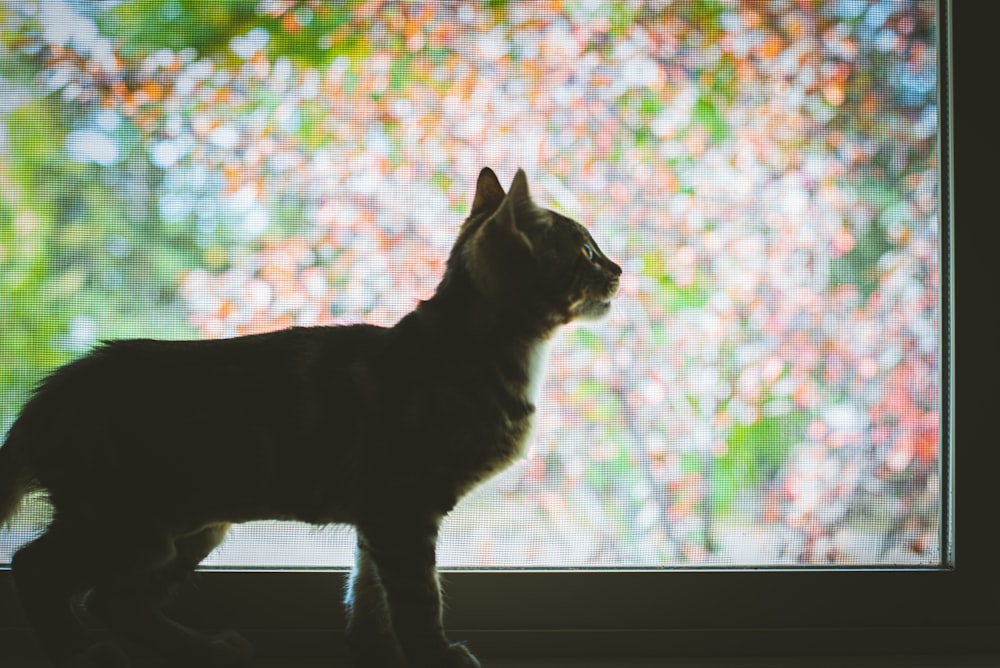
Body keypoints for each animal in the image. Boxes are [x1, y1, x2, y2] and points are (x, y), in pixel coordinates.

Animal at [0, 167, 620, 668]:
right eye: (586, 253)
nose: (619, 269)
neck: (479, 348)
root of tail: (47, 393)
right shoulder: (405, 506)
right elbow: (418, 597)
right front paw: (434, 655)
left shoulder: (381, 516)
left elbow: (369, 592)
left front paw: (376, 650)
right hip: (125, 521)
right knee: (34, 568)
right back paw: (80, 652)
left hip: (189, 526)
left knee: (114, 600)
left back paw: (201, 649)